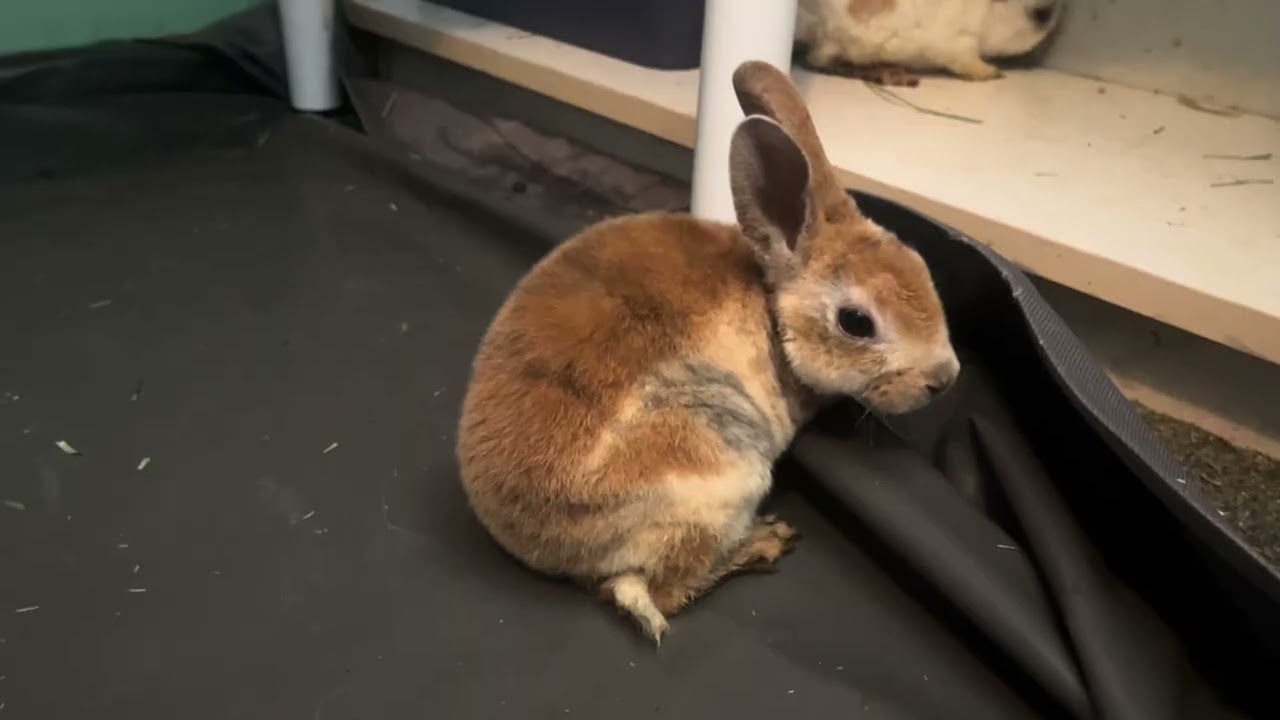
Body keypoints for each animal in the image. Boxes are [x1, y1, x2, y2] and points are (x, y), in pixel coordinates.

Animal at [456, 60, 960, 644]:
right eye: (856, 322)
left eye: (921, 266)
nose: (944, 379)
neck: (772, 310)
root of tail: (538, 546)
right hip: (716, 468)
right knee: (660, 592)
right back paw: (764, 542)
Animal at [796, 0, 1065, 85]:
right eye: (1041, 15)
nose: (1055, 16)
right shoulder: (957, 46)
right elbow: (970, 63)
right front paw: (992, 73)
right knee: (821, 61)